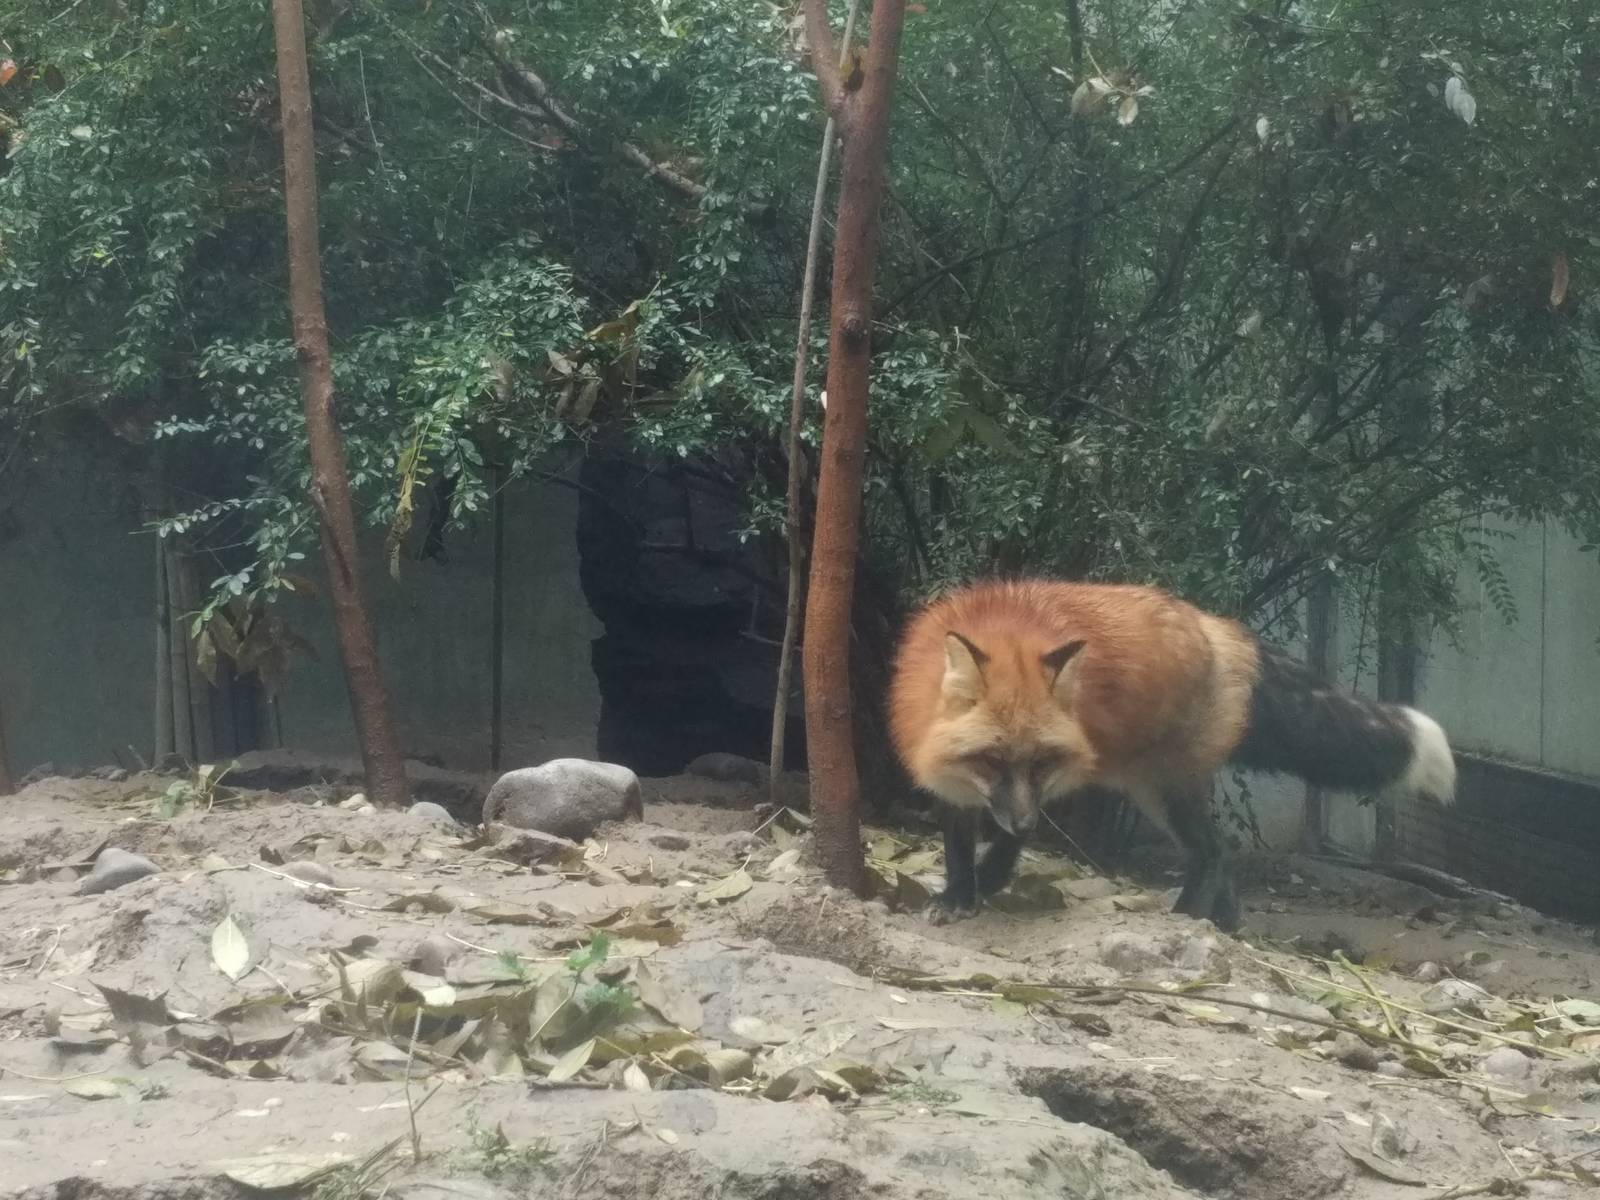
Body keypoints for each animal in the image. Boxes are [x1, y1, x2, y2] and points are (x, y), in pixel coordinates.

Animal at [887, 578, 1456, 932]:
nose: (1024, 822)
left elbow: (1005, 845)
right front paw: (958, 894)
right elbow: (958, 844)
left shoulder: (1060, 779)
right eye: (991, 761)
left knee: (1215, 850)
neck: (1005, 629)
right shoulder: (956, 781)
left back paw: (1187, 915)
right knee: (1223, 855)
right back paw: (1225, 925)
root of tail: (1219, 628)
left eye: (1041, 762)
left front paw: (988, 881)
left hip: (1162, 789)